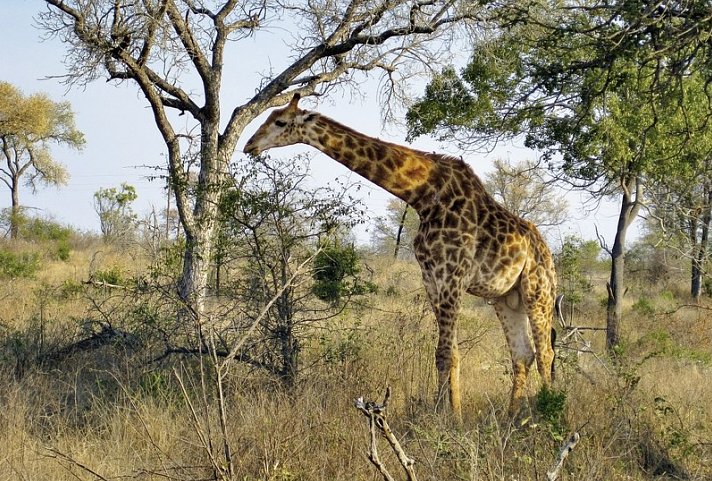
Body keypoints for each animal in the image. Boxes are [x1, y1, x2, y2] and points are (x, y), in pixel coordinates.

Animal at [245, 94, 556, 420]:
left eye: (280, 122)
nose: (249, 145)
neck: (423, 196)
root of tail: (546, 253)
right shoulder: (432, 279)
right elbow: (446, 353)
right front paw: (444, 413)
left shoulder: (452, 277)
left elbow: (448, 353)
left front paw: (450, 419)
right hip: (506, 297)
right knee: (522, 354)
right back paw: (512, 418)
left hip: (538, 291)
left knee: (545, 352)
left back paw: (548, 410)